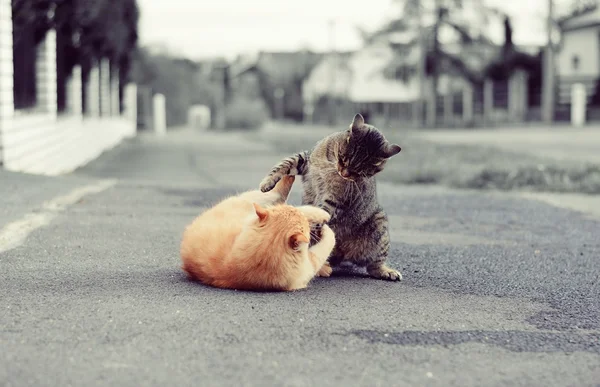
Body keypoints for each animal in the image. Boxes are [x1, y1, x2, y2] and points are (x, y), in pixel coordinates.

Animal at [258, 113, 404, 280]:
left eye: (360, 171)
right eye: (343, 157)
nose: (344, 173)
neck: (332, 167)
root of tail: (343, 254)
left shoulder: (335, 200)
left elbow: (322, 211)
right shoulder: (306, 160)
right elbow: (285, 164)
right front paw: (267, 183)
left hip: (379, 225)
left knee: (374, 264)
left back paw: (387, 271)